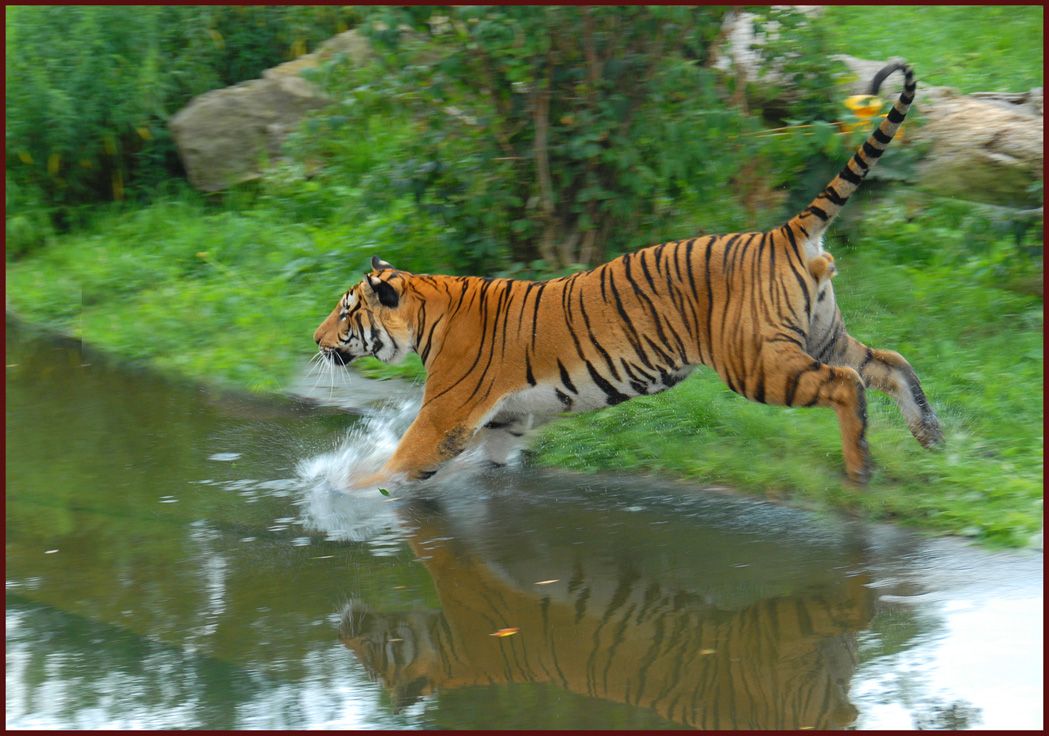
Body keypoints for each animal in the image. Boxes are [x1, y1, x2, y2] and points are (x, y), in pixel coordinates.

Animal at [310, 61, 944, 490]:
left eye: (346, 312)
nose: (314, 340)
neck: (429, 310)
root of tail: (781, 232)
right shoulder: (504, 419)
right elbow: (487, 460)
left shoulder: (444, 416)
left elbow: (394, 465)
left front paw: (337, 491)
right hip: (819, 333)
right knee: (888, 362)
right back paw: (930, 435)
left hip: (757, 362)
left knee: (847, 383)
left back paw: (862, 467)